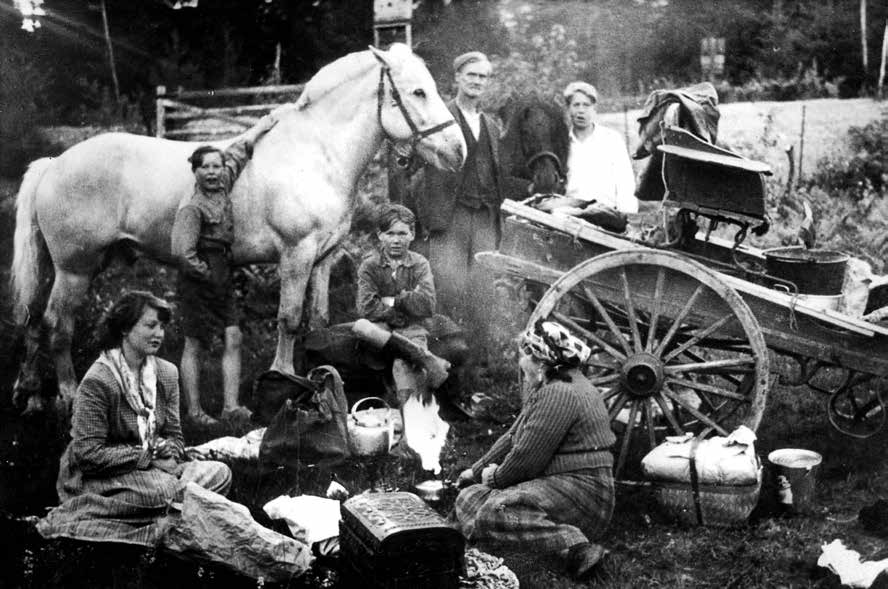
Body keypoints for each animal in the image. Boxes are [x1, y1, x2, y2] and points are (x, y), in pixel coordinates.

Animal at [12, 43, 464, 414]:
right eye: (418, 92)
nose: (457, 151)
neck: (316, 154)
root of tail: (55, 163)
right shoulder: (296, 255)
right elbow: (289, 319)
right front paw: (282, 376)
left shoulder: (322, 259)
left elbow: (316, 321)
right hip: (75, 270)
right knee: (56, 325)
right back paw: (67, 395)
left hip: (69, 266)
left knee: (33, 320)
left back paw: (31, 395)